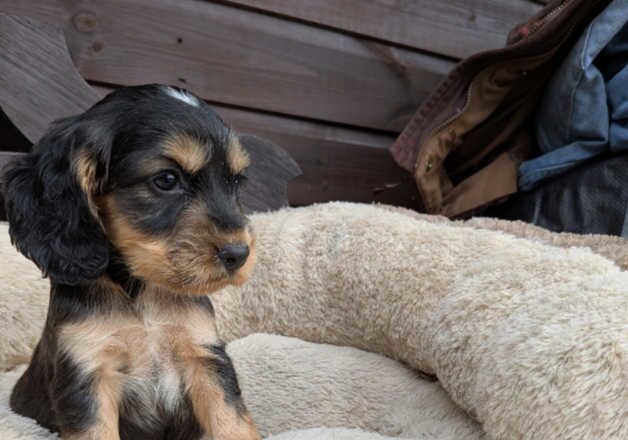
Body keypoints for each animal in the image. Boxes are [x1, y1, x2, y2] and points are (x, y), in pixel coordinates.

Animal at [2, 85, 260, 440]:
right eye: (166, 179)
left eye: (235, 181)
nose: (239, 254)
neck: (141, 291)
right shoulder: (88, 372)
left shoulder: (205, 357)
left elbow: (231, 421)